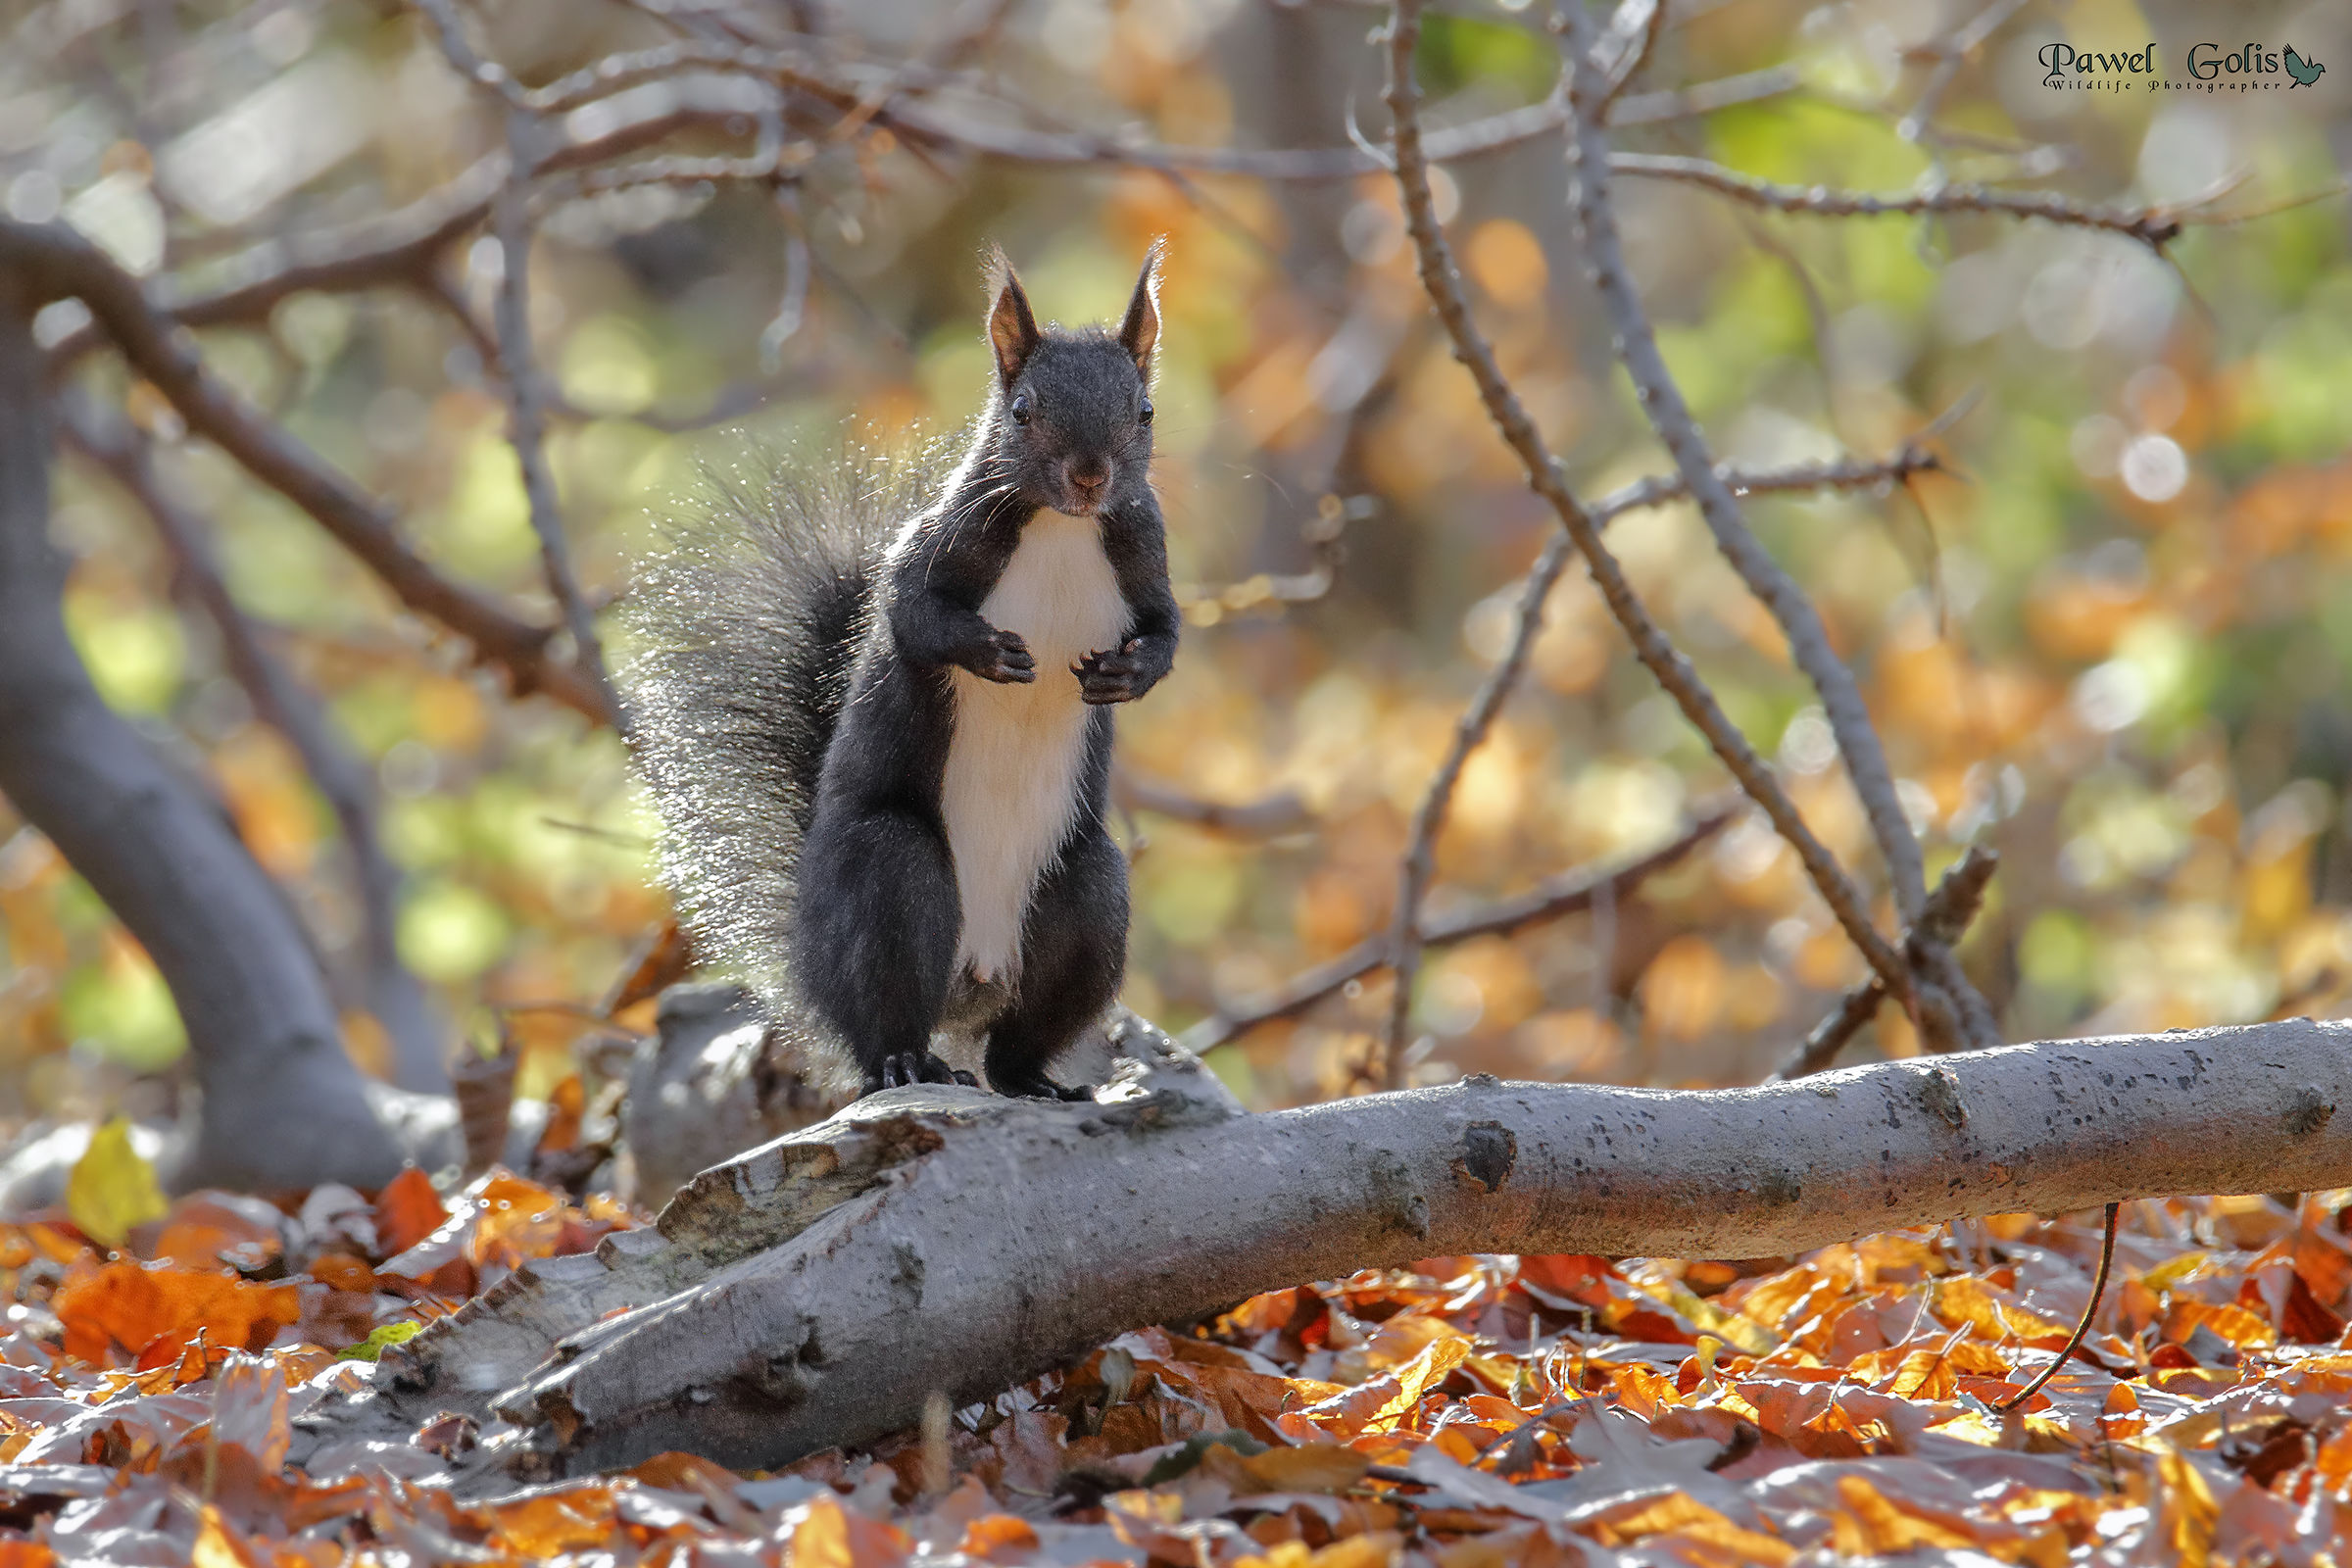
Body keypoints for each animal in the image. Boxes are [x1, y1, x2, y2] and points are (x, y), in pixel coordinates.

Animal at [624, 245, 1178, 1101]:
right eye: (1022, 410)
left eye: (1144, 412)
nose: (1090, 478)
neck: (1061, 528)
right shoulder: (935, 547)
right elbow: (912, 614)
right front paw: (992, 654)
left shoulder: (1147, 556)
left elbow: (1168, 633)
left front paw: (1126, 676)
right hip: (891, 879)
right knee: (885, 1017)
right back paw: (907, 1062)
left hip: (1086, 897)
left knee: (1017, 1043)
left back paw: (1038, 1082)